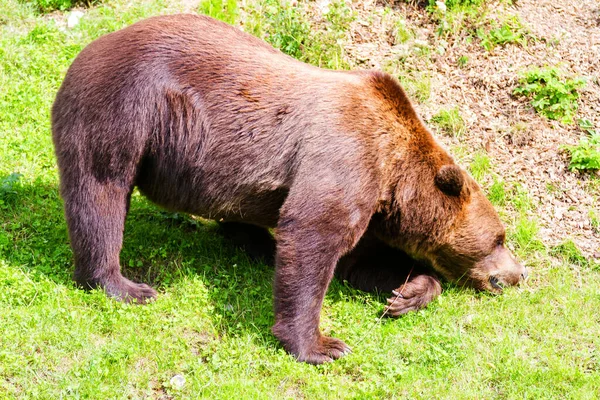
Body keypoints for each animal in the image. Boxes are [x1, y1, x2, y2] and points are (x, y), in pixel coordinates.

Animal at [54, 14, 528, 366]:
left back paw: (257, 243)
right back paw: (123, 284)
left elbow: (361, 261)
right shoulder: (346, 156)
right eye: (500, 237)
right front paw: (322, 345)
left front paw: (406, 293)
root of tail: (87, 48)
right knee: (100, 192)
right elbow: (312, 236)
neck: (394, 180)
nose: (519, 273)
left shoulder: (372, 208)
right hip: (123, 106)